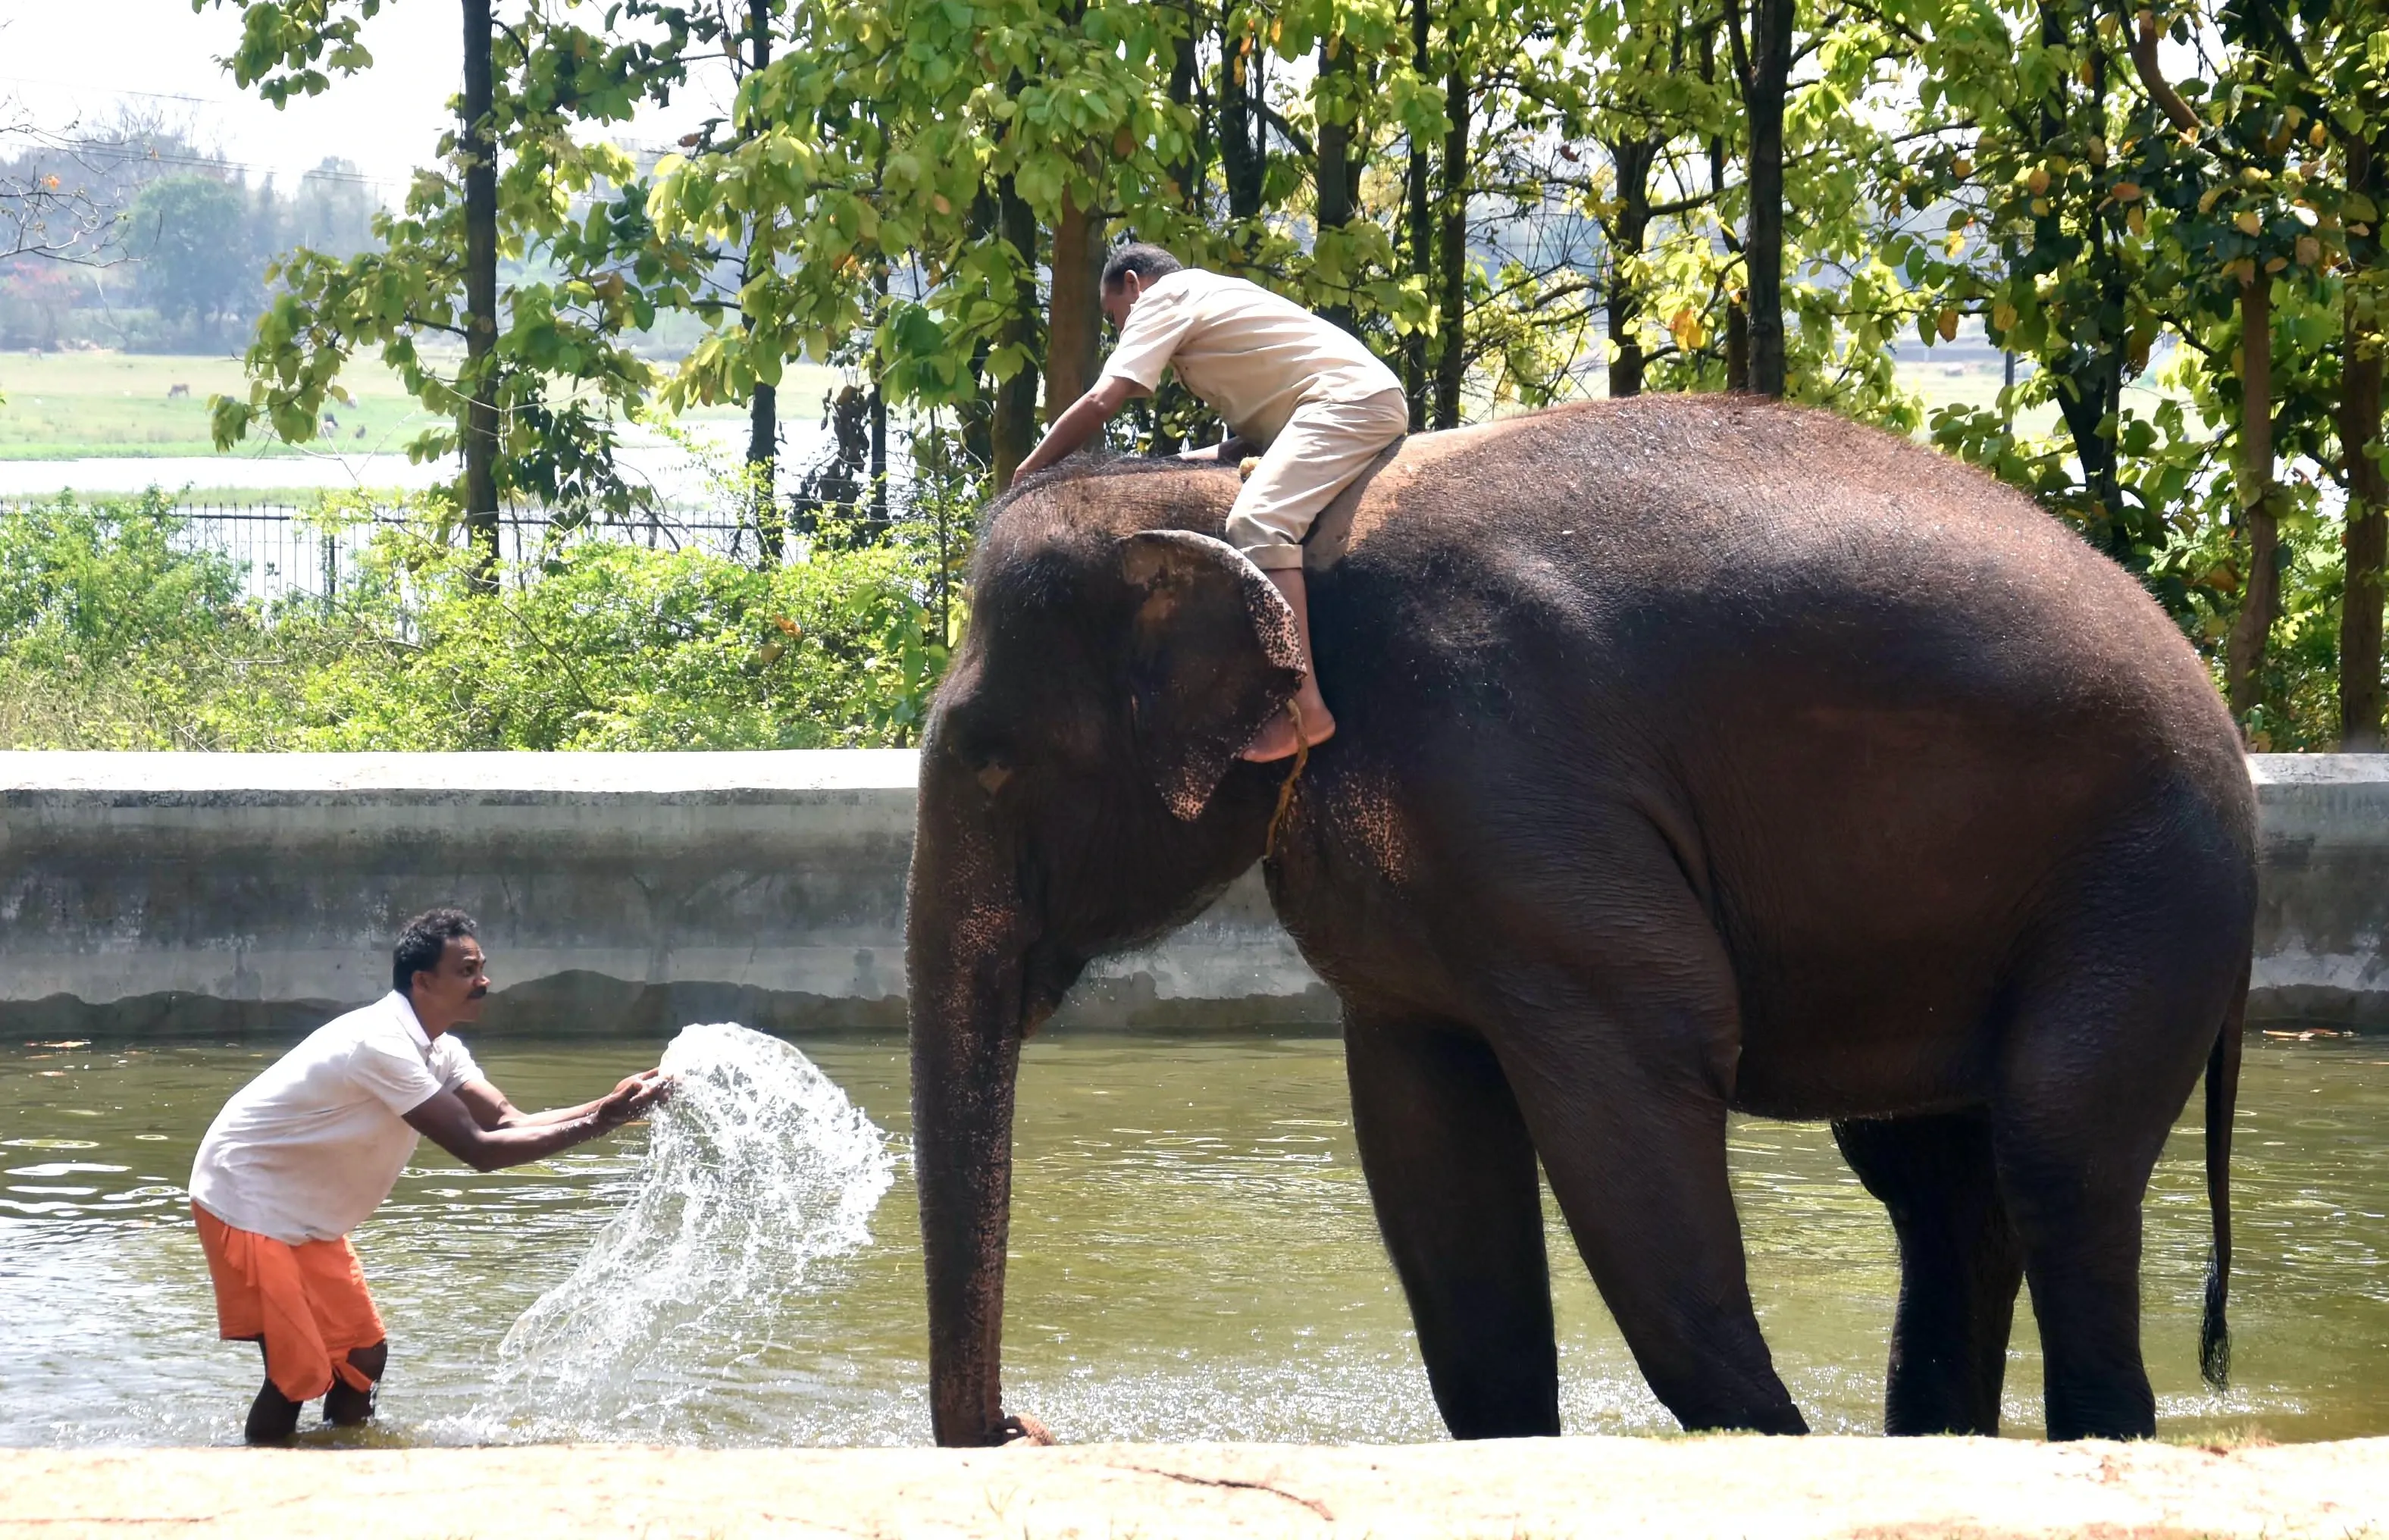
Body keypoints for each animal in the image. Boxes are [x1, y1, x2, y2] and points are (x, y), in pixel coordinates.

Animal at [905, 395, 2252, 1447]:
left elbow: (1645, 1066)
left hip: (2144, 889)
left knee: (2056, 1151)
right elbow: (1428, 1141)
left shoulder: (1503, 764)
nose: (1023, 1424)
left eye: (990, 761)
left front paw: (1766, 1437)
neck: (1221, 497)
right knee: (1936, 1184)